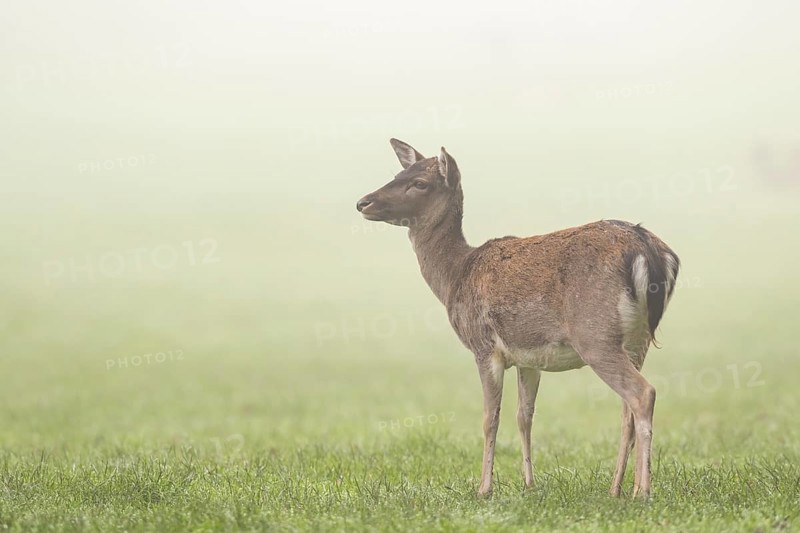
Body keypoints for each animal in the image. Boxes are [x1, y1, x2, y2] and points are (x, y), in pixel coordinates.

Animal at [356, 139, 680, 499]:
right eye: (398, 174)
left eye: (420, 183)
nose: (363, 202)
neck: (456, 276)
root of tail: (651, 253)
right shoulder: (529, 357)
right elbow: (524, 416)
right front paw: (529, 484)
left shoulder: (484, 346)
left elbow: (490, 418)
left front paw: (484, 489)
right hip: (637, 339)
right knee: (627, 407)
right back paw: (616, 488)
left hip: (595, 335)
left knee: (643, 394)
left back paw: (642, 491)